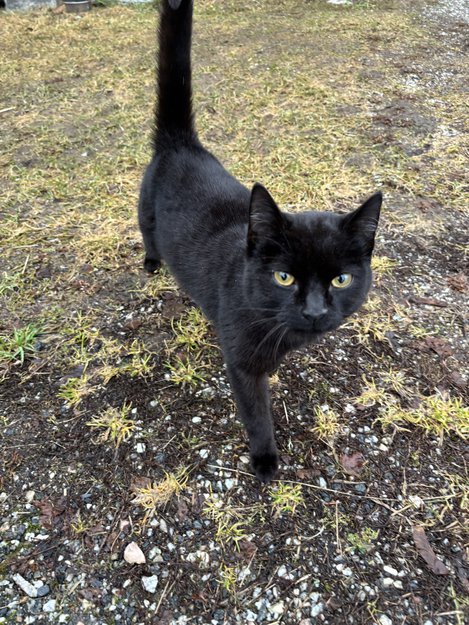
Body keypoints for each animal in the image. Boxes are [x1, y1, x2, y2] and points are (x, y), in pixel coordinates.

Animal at [138, 0, 382, 482]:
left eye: (341, 280)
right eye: (284, 277)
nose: (314, 312)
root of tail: (182, 143)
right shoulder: (241, 362)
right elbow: (256, 413)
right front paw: (265, 460)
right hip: (144, 211)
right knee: (146, 234)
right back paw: (152, 263)